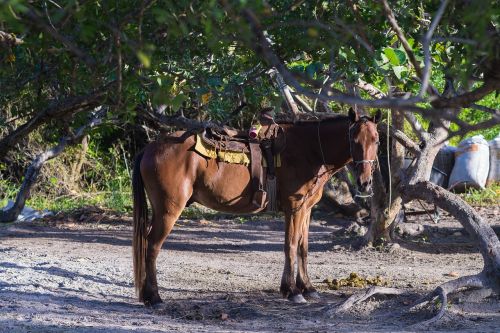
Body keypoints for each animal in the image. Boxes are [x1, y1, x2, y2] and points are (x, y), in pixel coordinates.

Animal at [132, 107, 378, 304]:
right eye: (354, 140)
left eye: (376, 140)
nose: (365, 182)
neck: (309, 150)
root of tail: (150, 148)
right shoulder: (294, 208)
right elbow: (290, 246)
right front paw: (292, 291)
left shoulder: (306, 209)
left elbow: (302, 247)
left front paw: (306, 288)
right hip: (169, 210)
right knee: (152, 246)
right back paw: (154, 297)